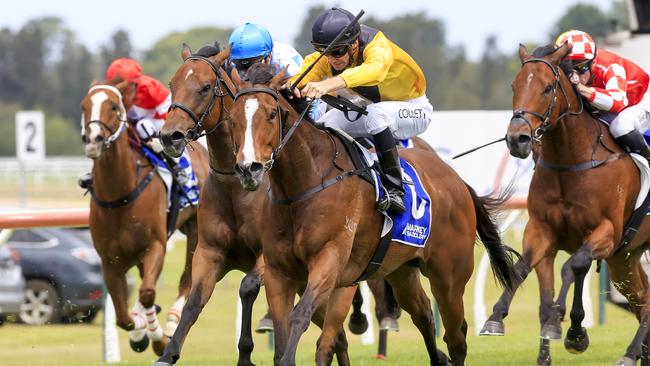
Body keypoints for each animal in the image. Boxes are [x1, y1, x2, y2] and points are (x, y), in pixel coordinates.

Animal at [80, 78, 209, 356]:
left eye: (114, 106)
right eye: (84, 106)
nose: (94, 139)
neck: (120, 193)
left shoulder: (155, 246)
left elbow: (148, 292)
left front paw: (158, 338)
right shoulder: (110, 261)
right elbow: (123, 317)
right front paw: (139, 331)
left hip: (196, 229)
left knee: (186, 279)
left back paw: (171, 323)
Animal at [228, 63, 516, 366]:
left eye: (271, 114)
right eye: (232, 118)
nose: (249, 169)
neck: (305, 184)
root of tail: (458, 181)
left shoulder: (330, 262)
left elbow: (302, 318)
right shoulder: (278, 272)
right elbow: (285, 335)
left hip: (449, 276)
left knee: (456, 337)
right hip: (402, 270)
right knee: (424, 314)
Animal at [480, 42, 648, 364]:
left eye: (547, 88)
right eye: (514, 85)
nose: (517, 139)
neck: (572, 162)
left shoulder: (607, 232)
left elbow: (574, 266)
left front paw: (568, 328)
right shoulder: (541, 230)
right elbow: (521, 270)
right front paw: (496, 318)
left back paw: (629, 353)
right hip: (624, 260)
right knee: (644, 300)